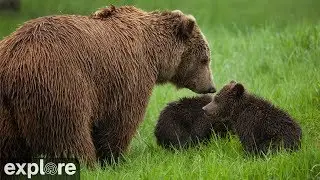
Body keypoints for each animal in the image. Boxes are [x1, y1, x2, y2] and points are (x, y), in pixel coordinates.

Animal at [0, 5, 216, 166]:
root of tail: (13, 60)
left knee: (9, 143)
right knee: (68, 132)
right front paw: (113, 158)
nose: (211, 87)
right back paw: (86, 163)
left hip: (6, 109)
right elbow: (121, 119)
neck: (155, 54)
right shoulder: (129, 76)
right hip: (59, 84)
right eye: (205, 59)